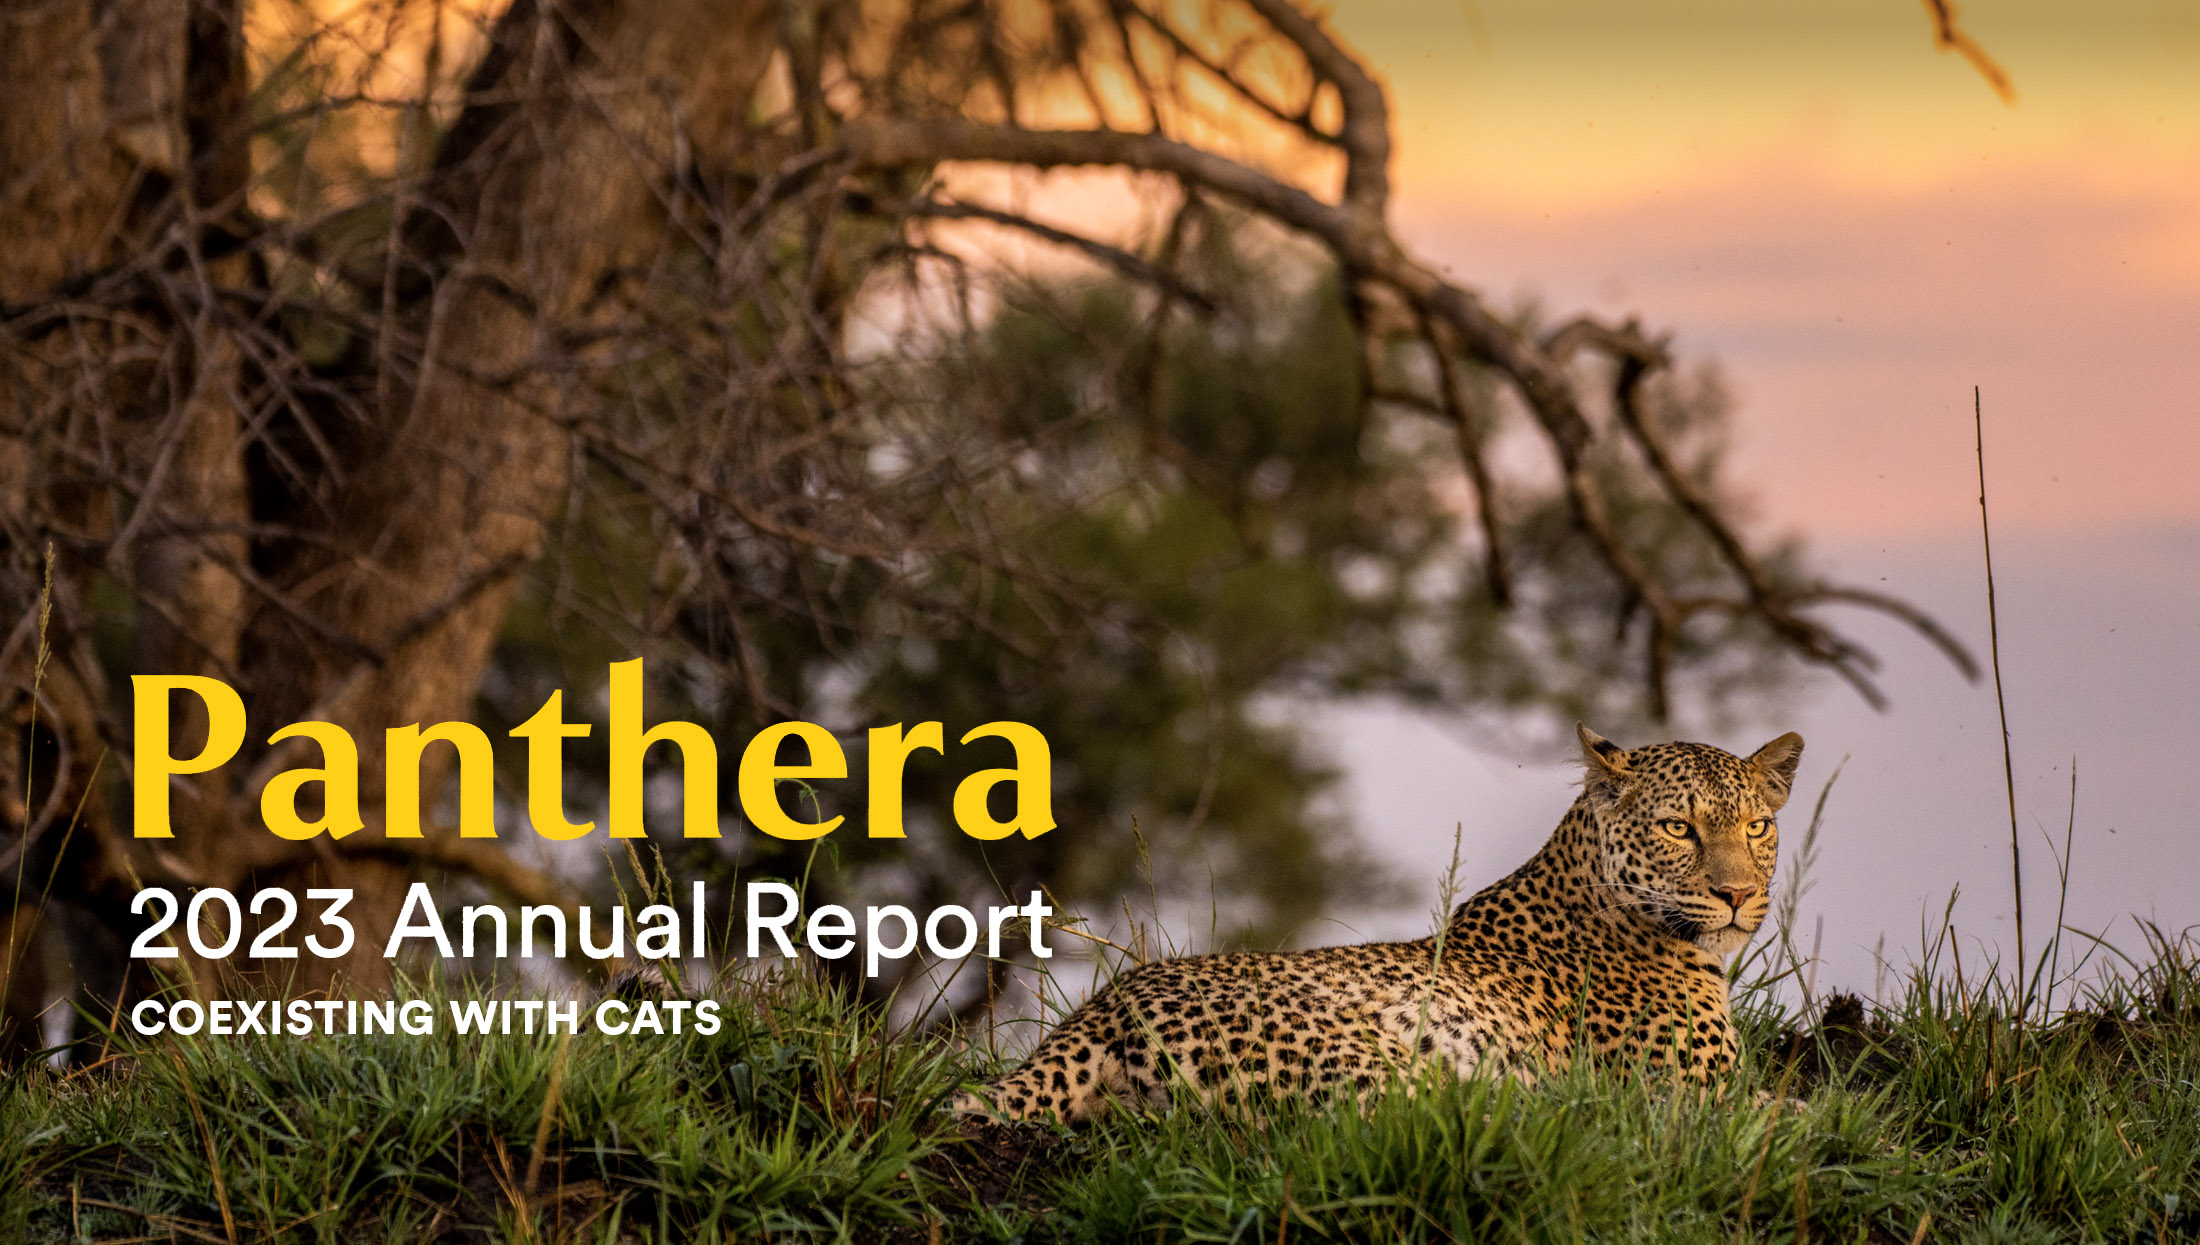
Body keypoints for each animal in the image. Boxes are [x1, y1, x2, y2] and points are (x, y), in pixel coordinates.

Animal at [950, 721, 1804, 1121]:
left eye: (1757, 826)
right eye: (1678, 828)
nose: (1737, 894)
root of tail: (1104, 1006)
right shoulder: (1695, 1089)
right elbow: (1791, 1112)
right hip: (1382, 1068)